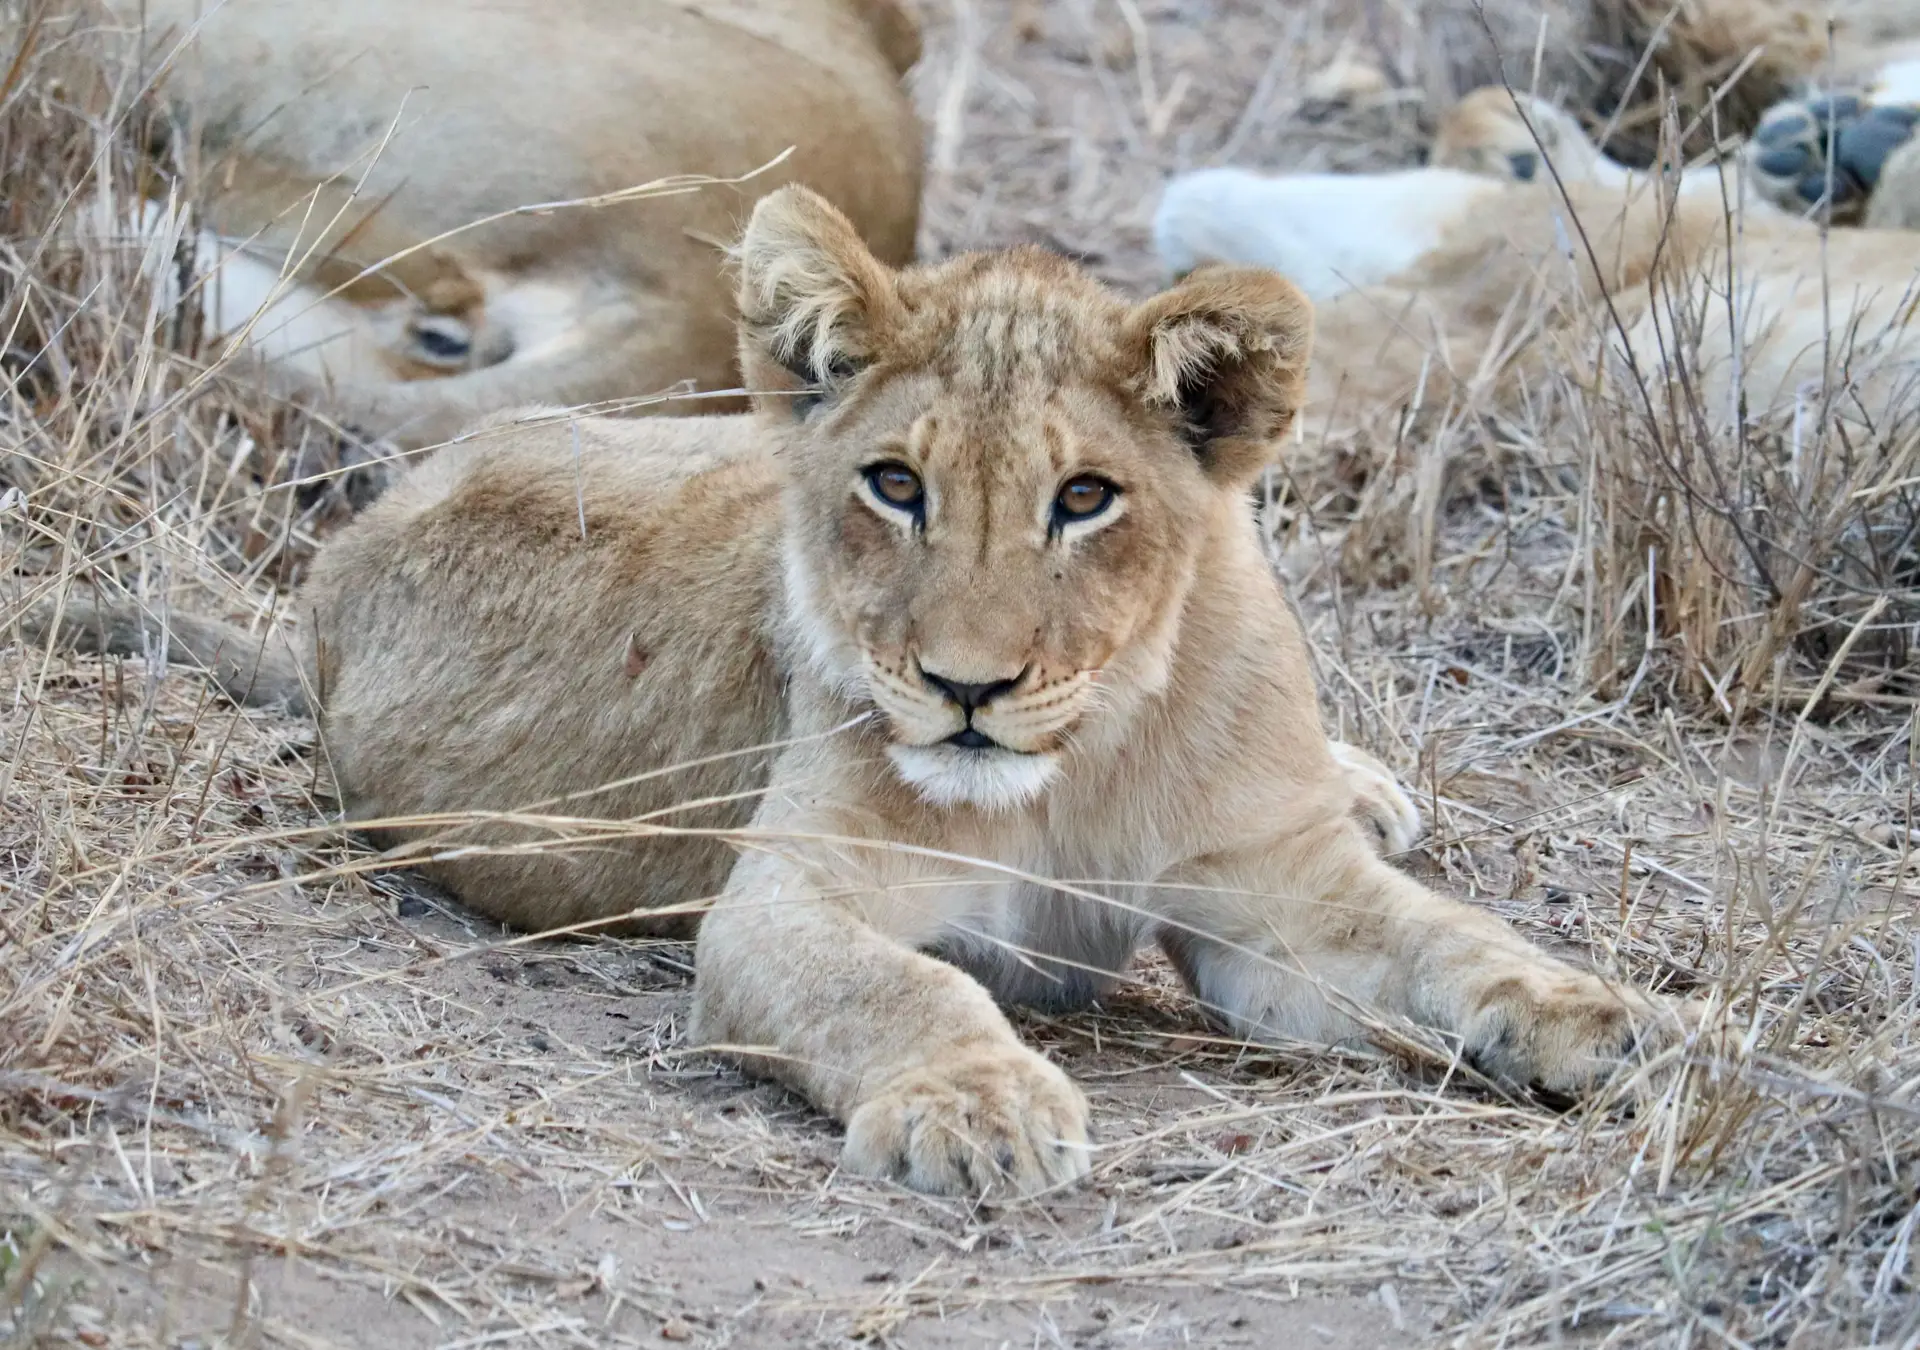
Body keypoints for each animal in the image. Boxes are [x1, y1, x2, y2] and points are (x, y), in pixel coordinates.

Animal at [26, 187, 1681, 1190]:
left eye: (1085, 499)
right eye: (895, 484)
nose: (966, 688)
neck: (1076, 764)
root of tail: (334, 564)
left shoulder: (1274, 898)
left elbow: (1458, 944)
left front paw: (1627, 1028)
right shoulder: (783, 902)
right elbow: (905, 981)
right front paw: (984, 1106)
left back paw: (1372, 780)